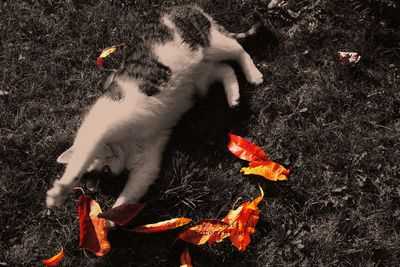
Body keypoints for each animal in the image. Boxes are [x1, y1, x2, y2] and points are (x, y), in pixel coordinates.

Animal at [46, 4, 262, 211]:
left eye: (100, 170)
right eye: (104, 174)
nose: (112, 170)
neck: (126, 144)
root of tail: (188, 7)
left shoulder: (99, 128)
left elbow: (78, 162)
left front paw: (59, 191)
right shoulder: (147, 163)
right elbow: (128, 198)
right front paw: (108, 219)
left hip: (209, 43)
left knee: (237, 49)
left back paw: (253, 74)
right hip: (203, 77)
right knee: (225, 69)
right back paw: (234, 96)